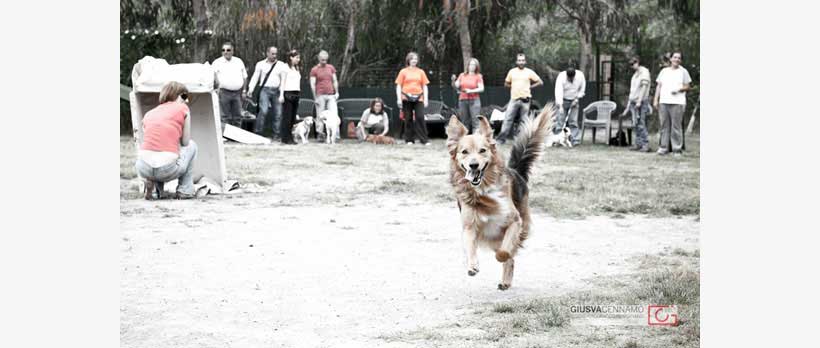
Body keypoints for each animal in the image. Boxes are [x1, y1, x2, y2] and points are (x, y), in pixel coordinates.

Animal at [446, 104, 556, 290]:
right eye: (464, 152)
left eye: (482, 150)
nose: (473, 165)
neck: (484, 190)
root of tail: (516, 171)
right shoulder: (469, 227)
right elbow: (470, 247)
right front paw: (472, 266)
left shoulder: (515, 221)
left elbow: (505, 252)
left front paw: (503, 256)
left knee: (510, 254)